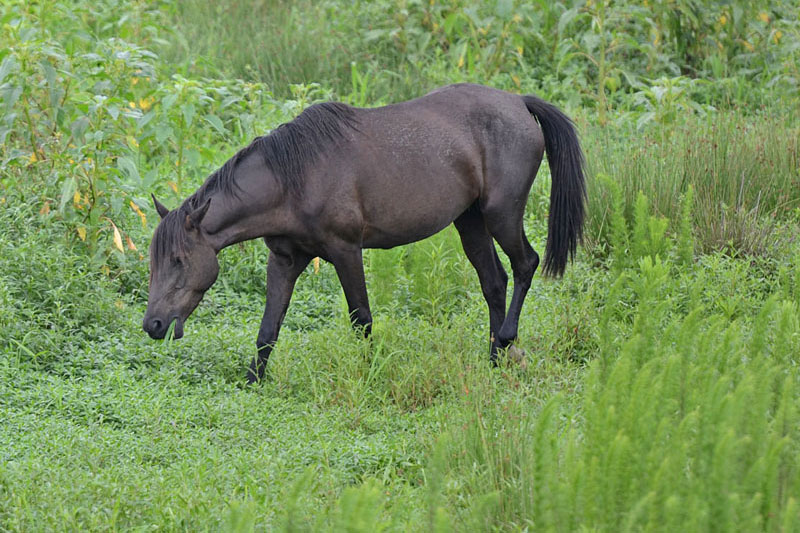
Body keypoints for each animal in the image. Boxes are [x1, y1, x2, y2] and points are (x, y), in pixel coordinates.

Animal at [143, 83, 586, 384]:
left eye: (179, 260)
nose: (153, 326)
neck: (294, 179)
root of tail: (518, 102)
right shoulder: (285, 259)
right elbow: (268, 329)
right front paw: (253, 381)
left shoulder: (345, 250)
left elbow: (362, 319)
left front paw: (371, 373)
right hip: (470, 221)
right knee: (494, 282)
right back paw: (492, 359)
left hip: (501, 213)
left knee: (526, 264)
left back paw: (507, 341)